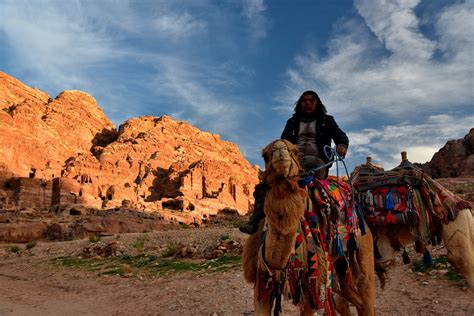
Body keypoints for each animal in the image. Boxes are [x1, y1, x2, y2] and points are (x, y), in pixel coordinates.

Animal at [244, 141, 374, 316]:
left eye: (295, 151)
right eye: (265, 155)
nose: (280, 149)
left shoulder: (310, 282)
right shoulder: (261, 281)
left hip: (364, 247)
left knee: (366, 294)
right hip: (340, 262)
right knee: (350, 298)